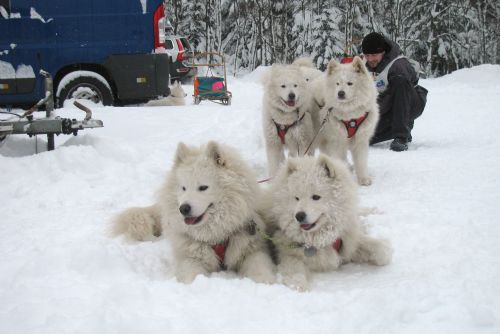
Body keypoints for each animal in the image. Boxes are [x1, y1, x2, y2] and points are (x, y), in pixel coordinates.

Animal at [113, 141, 276, 284]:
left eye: (203, 187)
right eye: (183, 188)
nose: (183, 209)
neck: (215, 235)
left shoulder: (252, 250)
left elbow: (259, 267)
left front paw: (265, 282)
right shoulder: (191, 258)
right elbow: (190, 276)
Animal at [268, 155, 392, 290]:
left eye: (316, 197)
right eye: (296, 198)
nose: (299, 216)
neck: (317, 240)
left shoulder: (348, 240)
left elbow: (382, 250)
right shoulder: (287, 253)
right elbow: (294, 270)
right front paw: (299, 286)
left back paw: (375, 211)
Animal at [314, 55, 376, 185]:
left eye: (350, 83)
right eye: (337, 83)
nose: (340, 93)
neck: (350, 116)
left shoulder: (361, 140)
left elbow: (361, 161)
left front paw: (364, 179)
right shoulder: (337, 141)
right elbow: (339, 160)